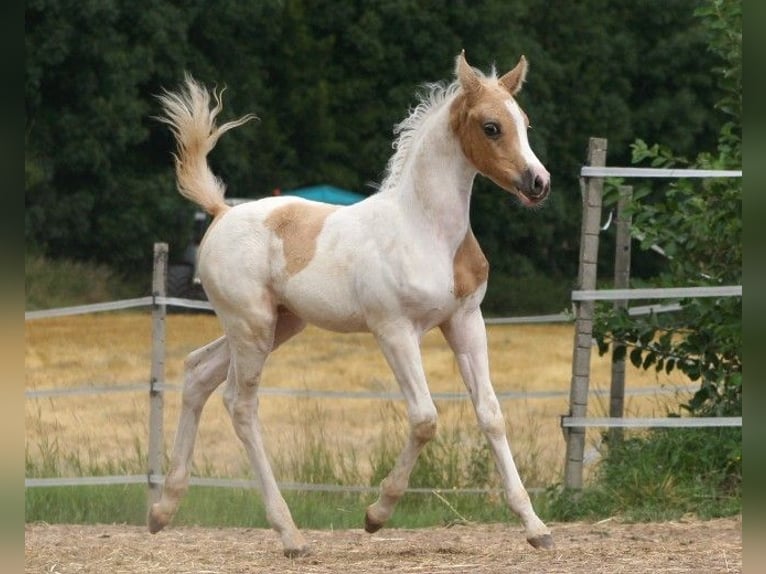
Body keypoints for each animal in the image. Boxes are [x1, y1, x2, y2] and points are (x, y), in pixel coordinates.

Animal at [149, 51, 553, 557]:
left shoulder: (465, 322)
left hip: (279, 325)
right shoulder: (394, 330)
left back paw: (162, 511)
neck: (426, 230)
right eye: (491, 126)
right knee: (240, 404)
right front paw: (376, 514)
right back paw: (290, 535)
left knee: (197, 373)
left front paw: (536, 527)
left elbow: (492, 415)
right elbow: (425, 419)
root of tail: (221, 213)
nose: (538, 182)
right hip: (251, 327)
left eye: (526, 122)